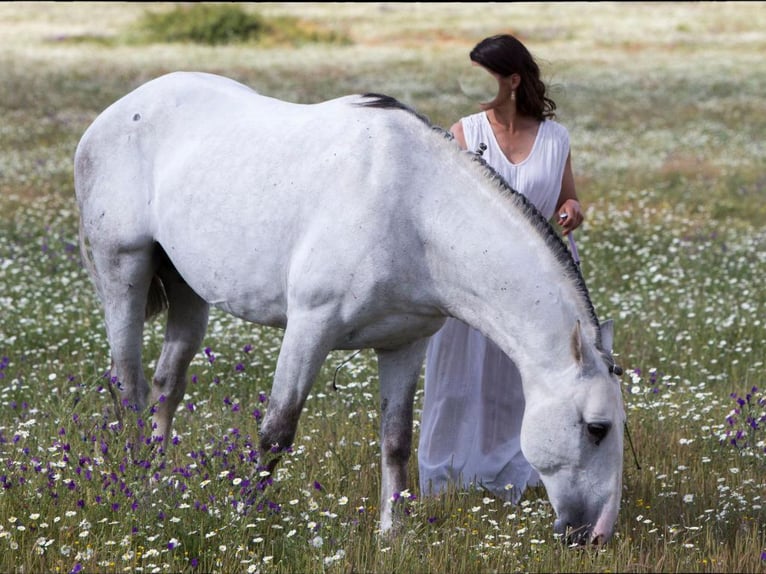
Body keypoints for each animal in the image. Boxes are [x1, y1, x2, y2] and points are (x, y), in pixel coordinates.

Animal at [73, 71, 624, 544]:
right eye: (597, 429)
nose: (596, 535)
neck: (416, 211)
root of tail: (115, 114)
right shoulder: (309, 328)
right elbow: (276, 432)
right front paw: (244, 519)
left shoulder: (405, 344)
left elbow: (396, 440)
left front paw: (392, 533)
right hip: (123, 271)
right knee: (130, 386)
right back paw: (136, 482)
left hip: (189, 292)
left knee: (165, 386)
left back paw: (158, 478)